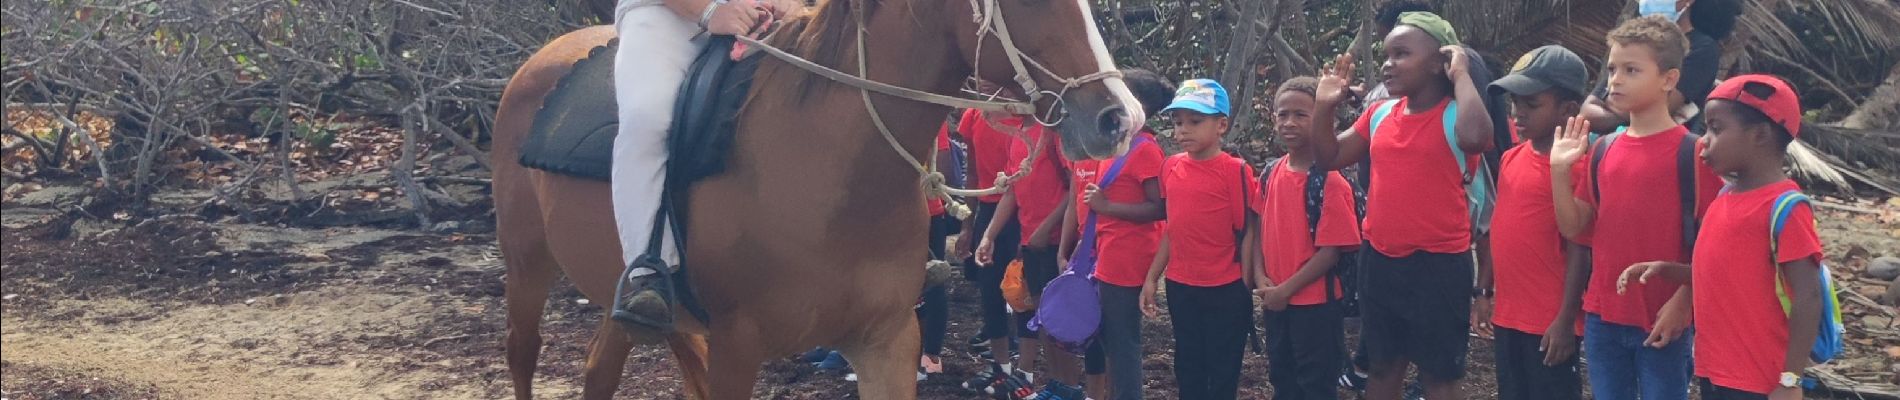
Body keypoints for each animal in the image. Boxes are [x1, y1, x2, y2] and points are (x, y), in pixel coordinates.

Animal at [494, 0, 1140, 396]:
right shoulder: (736, 350)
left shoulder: (886, 342)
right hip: (527, 264)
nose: (1121, 118)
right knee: (523, 352)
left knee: (600, 366)